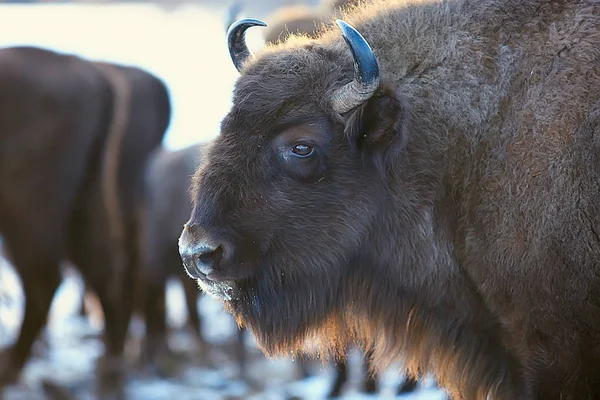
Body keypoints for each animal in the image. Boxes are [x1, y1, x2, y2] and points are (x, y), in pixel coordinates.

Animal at [0, 46, 170, 396]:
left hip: (28, 215)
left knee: (44, 282)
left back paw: (9, 369)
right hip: (86, 205)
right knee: (105, 270)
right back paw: (113, 368)